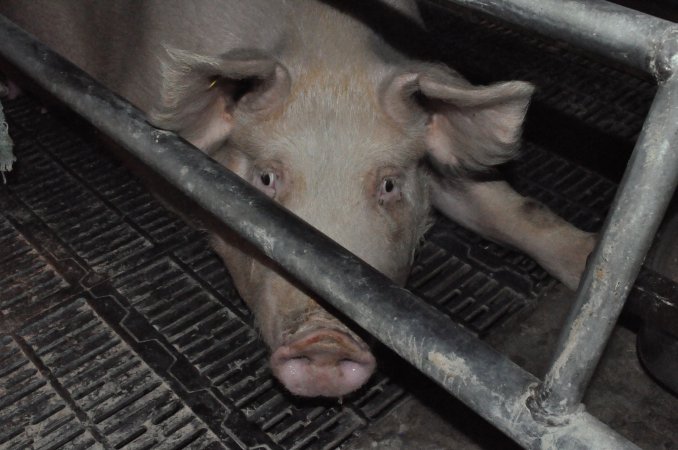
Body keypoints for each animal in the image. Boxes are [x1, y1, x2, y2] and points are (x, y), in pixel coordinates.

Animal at [0, 0, 596, 396]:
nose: (325, 343)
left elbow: (511, 208)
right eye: (265, 179)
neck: (327, 50)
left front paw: (591, 261)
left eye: (388, 185)